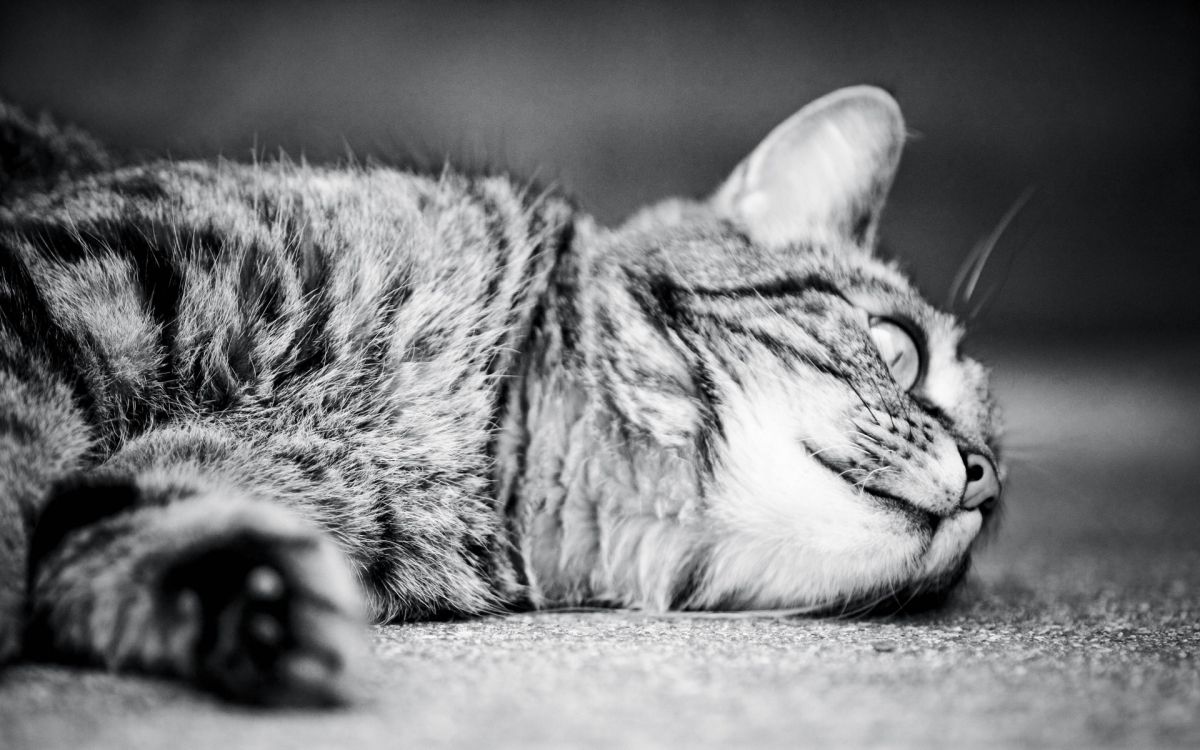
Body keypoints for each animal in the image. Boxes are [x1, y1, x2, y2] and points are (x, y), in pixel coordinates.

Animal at [0, 86, 1003, 700]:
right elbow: (18, 448)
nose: (984, 479)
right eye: (900, 350)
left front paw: (257, 606)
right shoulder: (85, 271)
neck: (484, 448)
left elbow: (108, 526)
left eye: (1000, 483)